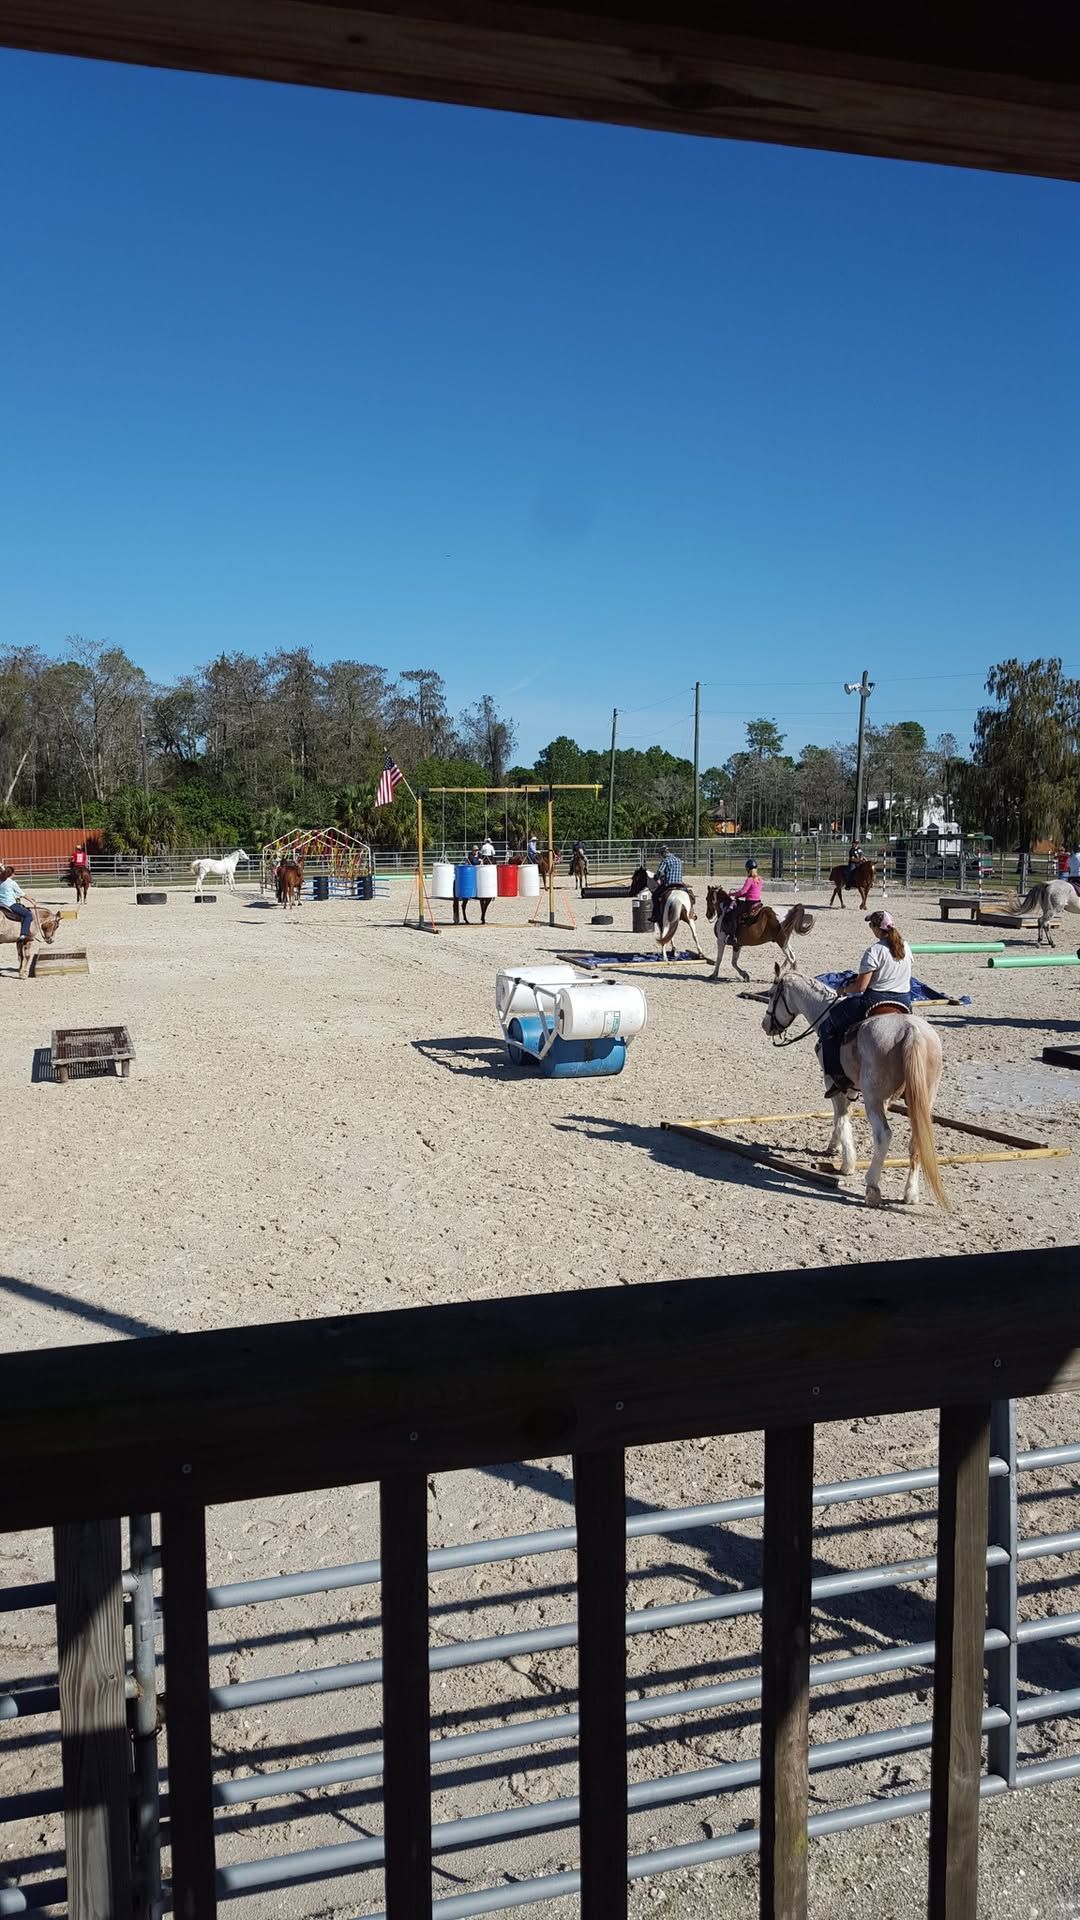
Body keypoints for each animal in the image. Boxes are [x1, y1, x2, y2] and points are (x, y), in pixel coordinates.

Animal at [757, 967, 941, 1205]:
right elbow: (845, 1116)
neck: (825, 1012)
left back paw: (872, 1187)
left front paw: (846, 1163)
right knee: (917, 1139)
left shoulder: (833, 1082)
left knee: (883, 1135)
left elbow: (841, 1117)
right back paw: (910, 1193)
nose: (765, 1025)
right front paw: (834, 1148)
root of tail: (912, 1032)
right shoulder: (858, 1089)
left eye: (771, 994)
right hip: (923, 1099)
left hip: (873, 1098)